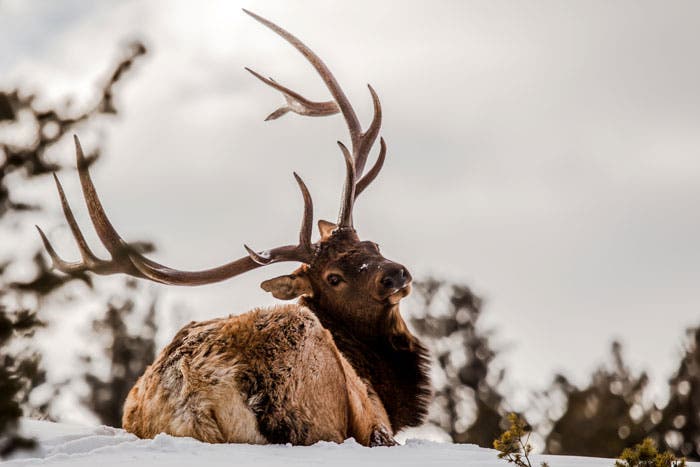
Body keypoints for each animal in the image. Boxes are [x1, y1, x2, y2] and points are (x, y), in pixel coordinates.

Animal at [36, 10, 431, 447]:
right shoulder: (372, 413)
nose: (395, 275)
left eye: (372, 243)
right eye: (333, 277)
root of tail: (195, 397)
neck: (383, 381)